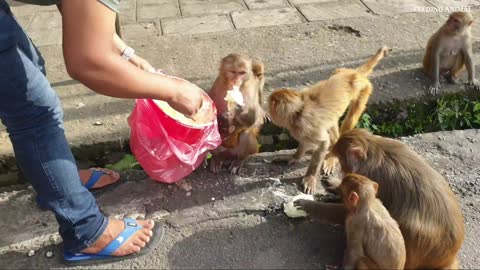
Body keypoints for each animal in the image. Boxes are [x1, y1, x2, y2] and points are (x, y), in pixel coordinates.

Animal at [268, 47, 388, 194]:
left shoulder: (305, 124)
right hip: (340, 72)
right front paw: (295, 157)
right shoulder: (301, 127)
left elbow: (322, 143)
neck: (299, 110)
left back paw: (333, 155)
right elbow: (305, 141)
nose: (267, 110)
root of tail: (354, 74)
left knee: (349, 121)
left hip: (364, 90)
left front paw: (310, 177)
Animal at [296, 129, 464, 270]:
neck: (374, 149)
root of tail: (447, 259)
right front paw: (337, 185)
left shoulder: (369, 176)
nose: (344, 171)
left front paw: (308, 205)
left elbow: (348, 211)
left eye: (342, 162)